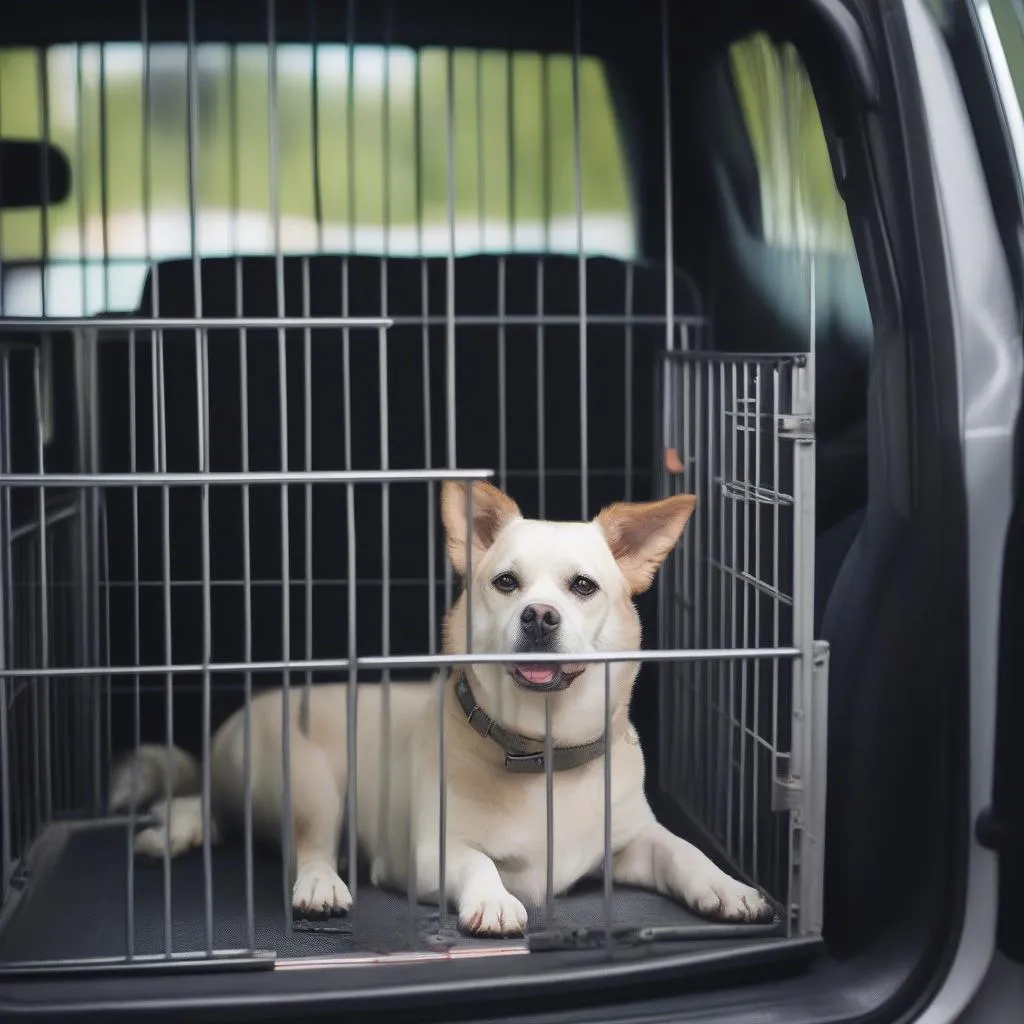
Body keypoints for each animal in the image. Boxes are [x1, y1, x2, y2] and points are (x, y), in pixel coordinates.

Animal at [108, 479, 770, 937]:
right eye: (506, 583)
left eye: (582, 586)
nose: (538, 615)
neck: (543, 755)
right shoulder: (429, 858)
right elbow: (479, 864)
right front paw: (495, 899)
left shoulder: (636, 843)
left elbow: (682, 851)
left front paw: (726, 886)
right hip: (314, 783)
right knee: (305, 847)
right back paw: (319, 883)